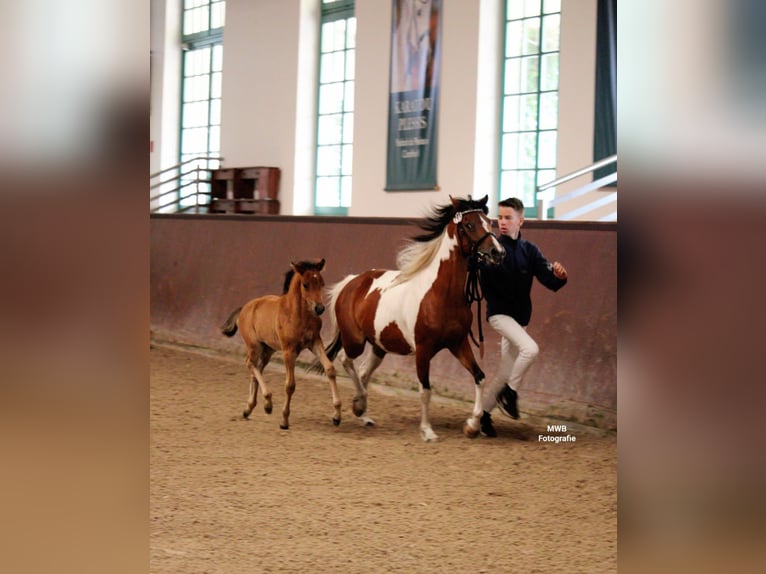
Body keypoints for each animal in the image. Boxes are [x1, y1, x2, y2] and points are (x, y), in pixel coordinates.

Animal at [222, 258, 342, 430]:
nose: (319, 308)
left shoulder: (315, 342)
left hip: (267, 350)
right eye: (305, 284)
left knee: (257, 369)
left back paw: (250, 408)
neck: (298, 314)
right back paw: (267, 402)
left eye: (322, 283)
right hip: (254, 346)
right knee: (250, 363)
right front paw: (284, 420)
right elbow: (290, 385)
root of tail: (244, 307)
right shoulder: (288, 351)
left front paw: (337, 416)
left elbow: (330, 369)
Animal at [322, 196, 504, 444]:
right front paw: (427, 431)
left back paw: (364, 414)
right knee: (343, 360)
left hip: (379, 345)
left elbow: (480, 377)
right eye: (469, 225)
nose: (498, 252)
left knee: (363, 372)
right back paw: (347, 409)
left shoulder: (458, 343)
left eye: (489, 222)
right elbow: (425, 390)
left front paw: (472, 426)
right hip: (355, 341)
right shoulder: (423, 350)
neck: (441, 293)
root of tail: (350, 282)